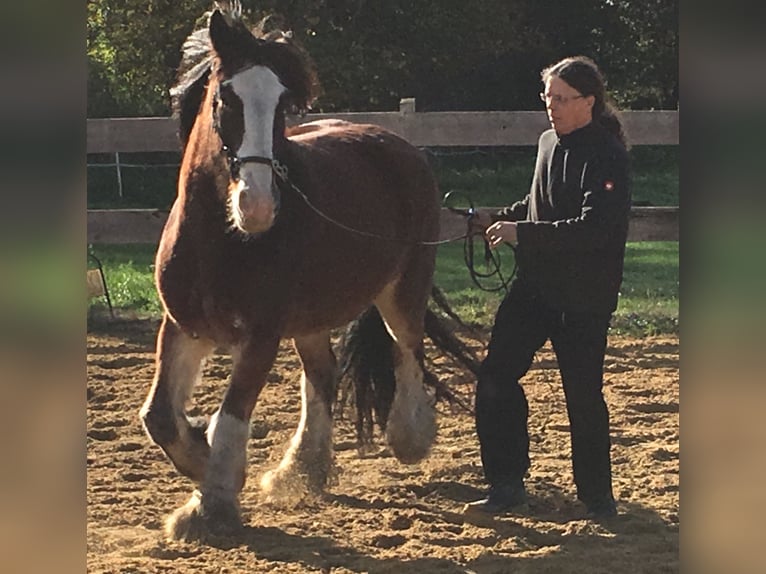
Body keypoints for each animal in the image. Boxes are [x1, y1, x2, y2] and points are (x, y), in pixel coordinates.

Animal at [136, 4, 440, 544]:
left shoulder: (261, 335)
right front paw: (207, 466)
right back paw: (300, 470)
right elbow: (159, 418)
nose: (256, 206)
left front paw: (211, 506)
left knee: (408, 349)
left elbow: (230, 418)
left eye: (282, 106)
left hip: (404, 286)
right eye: (225, 98)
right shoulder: (183, 326)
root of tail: (402, 147)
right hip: (312, 318)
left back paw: (409, 438)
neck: (217, 242)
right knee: (323, 375)